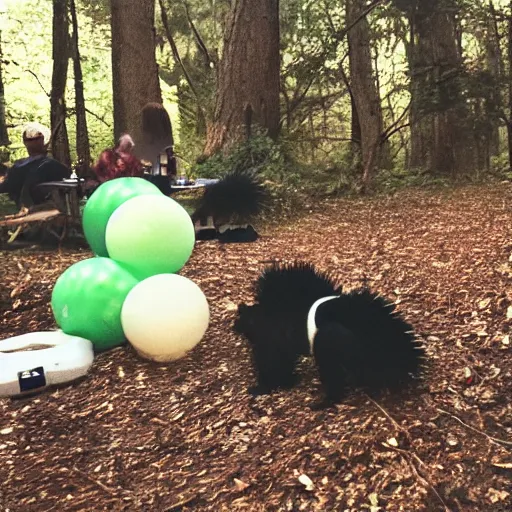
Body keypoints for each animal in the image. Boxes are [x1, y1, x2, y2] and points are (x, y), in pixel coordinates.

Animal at [234, 262, 426, 406]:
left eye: (239, 320)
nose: (234, 327)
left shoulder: (272, 346)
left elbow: (274, 370)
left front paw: (261, 388)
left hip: (327, 344)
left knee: (335, 382)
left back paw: (323, 403)